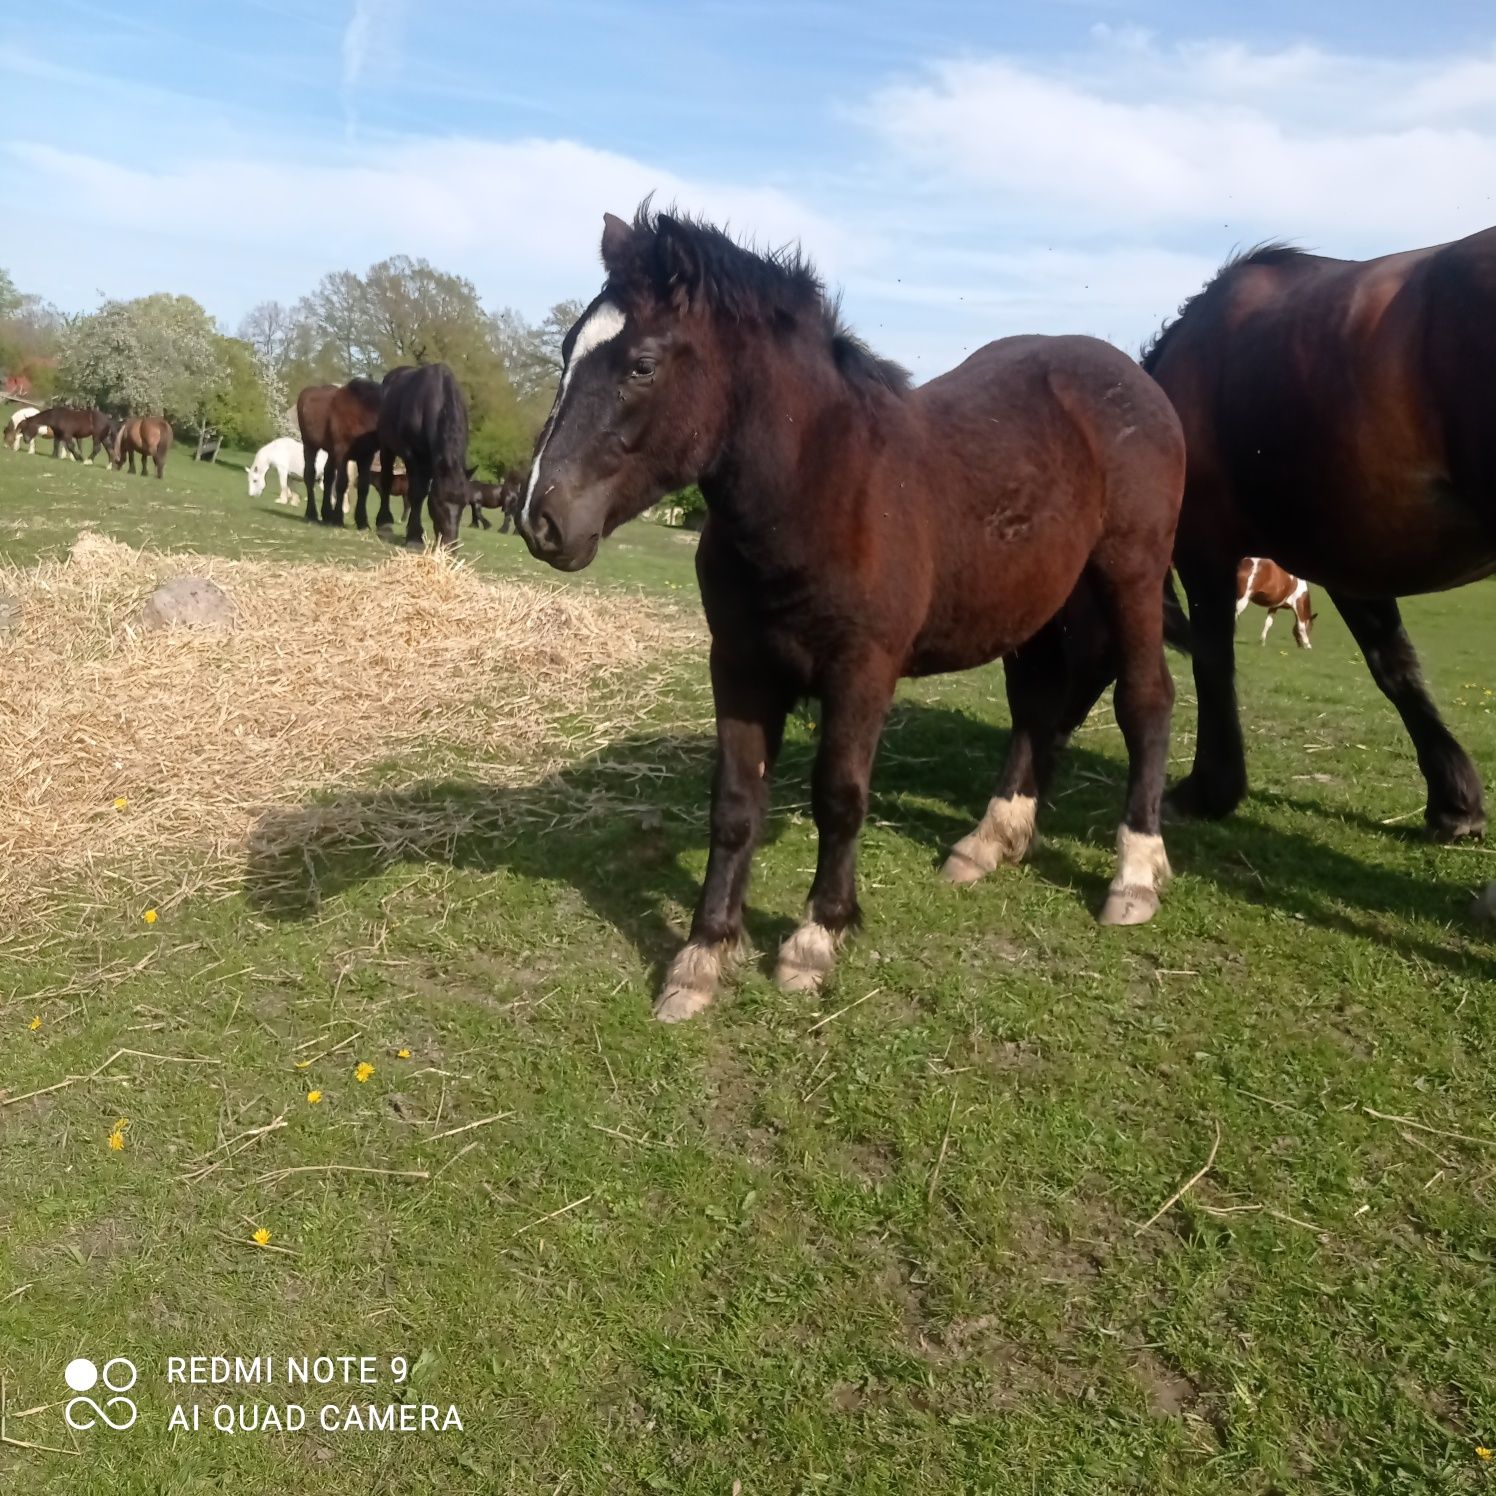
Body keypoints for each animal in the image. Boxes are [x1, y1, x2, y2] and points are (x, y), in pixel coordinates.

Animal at [520, 210, 1184, 1023]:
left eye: (642, 366)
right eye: (566, 350)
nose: (539, 518)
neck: (819, 490)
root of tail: (1136, 378)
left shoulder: (862, 671)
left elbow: (839, 797)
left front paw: (813, 940)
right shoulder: (739, 666)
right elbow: (734, 804)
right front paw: (701, 958)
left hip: (1132, 574)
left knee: (1145, 700)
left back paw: (1135, 875)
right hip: (1037, 610)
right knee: (1037, 709)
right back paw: (987, 843)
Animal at [1142, 228, 1496, 915]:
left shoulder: (1207, 550)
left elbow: (1212, 662)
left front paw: (1209, 789)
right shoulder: (1355, 566)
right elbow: (1397, 671)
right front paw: (1455, 805)